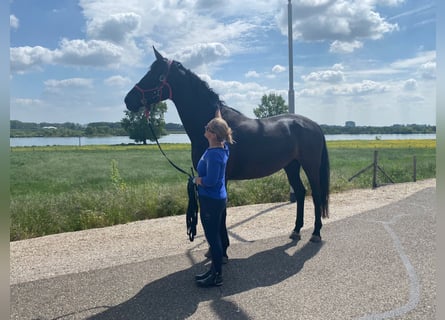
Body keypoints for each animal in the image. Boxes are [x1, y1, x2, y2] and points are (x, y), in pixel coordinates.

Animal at [123, 47, 328, 242]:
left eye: (156, 75)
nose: (128, 100)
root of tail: (314, 125)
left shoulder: (221, 176)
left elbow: (221, 211)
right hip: (291, 165)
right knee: (300, 193)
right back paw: (296, 230)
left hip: (310, 165)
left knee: (316, 194)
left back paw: (316, 233)